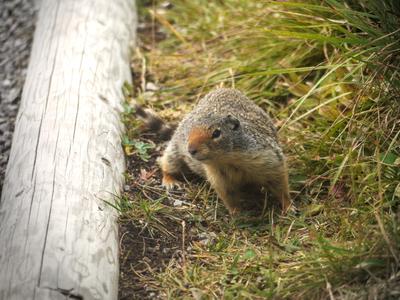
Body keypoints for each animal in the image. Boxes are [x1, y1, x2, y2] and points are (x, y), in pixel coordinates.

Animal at [136, 88, 290, 214]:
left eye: (216, 133)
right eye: (190, 130)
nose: (190, 149)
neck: (229, 159)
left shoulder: (268, 160)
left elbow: (280, 185)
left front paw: (289, 208)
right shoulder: (218, 178)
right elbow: (228, 196)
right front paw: (237, 213)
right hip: (174, 152)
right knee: (164, 164)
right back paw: (170, 181)